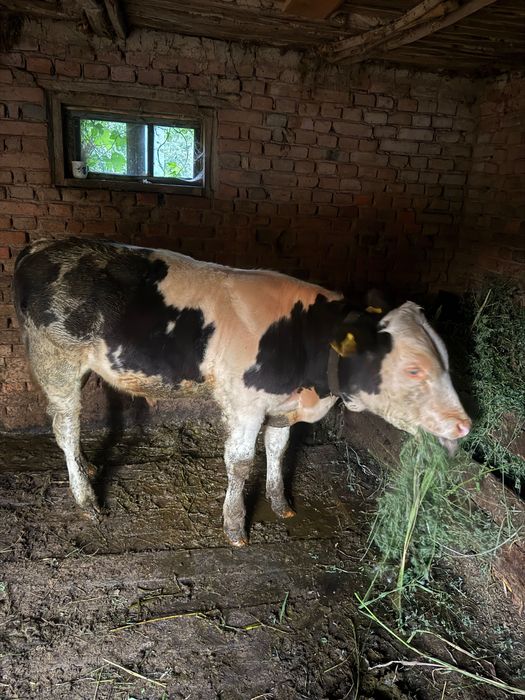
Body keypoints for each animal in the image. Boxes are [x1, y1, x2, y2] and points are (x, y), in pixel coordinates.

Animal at [13, 237, 471, 546]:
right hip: (56, 360)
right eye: (413, 369)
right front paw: (235, 525)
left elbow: (278, 451)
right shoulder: (245, 404)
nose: (463, 425)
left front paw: (280, 502)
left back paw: (88, 467)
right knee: (66, 428)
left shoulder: (282, 404)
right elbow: (240, 463)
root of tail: (41, 245)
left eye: (447, 359)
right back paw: (86, 499)